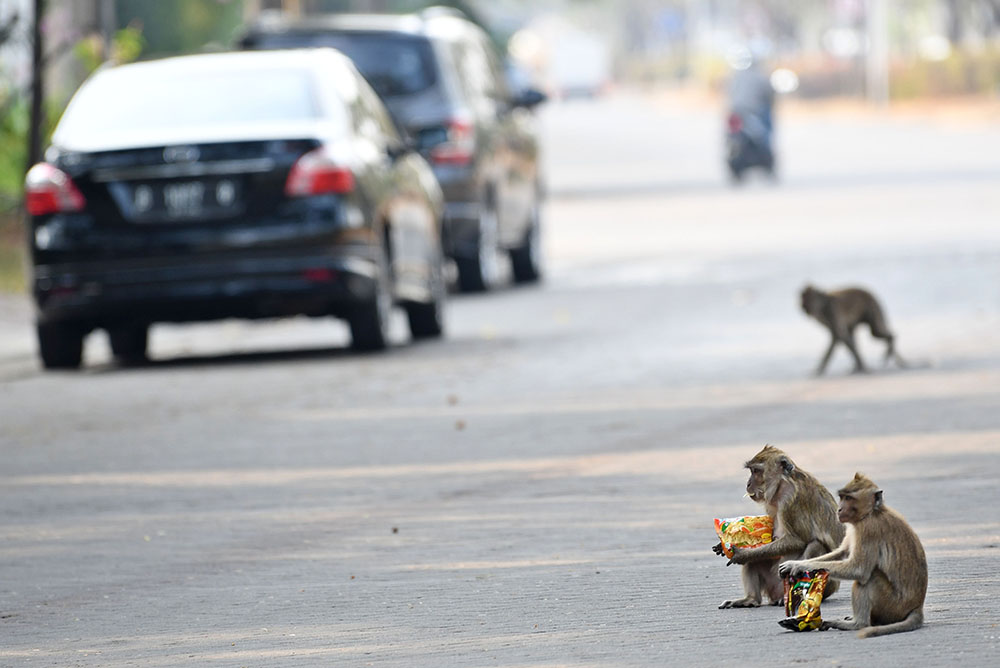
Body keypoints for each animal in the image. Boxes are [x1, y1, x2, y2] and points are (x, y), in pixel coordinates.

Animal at [712, 446, 844, 608]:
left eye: (756, 471)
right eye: (751, 471)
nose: (748, 484)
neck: (782, 484)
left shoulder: (792, 501)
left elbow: (798, 540)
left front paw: (743, 554)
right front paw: (723, 545)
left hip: (824, 586)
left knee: (816, 545)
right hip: (771, 584)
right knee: (756, 563)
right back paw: (750, 599)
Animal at [776, 472, 924, 640]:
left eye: (849, 498)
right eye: (842, 497)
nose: (839, 509)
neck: (871, 513)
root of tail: (917, 607)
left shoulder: (868, 529)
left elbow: (858, 569)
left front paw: (799, 565)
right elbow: (841, 553)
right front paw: (794, 564)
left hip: (893, 605)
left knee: (869, 578)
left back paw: (857, 624)